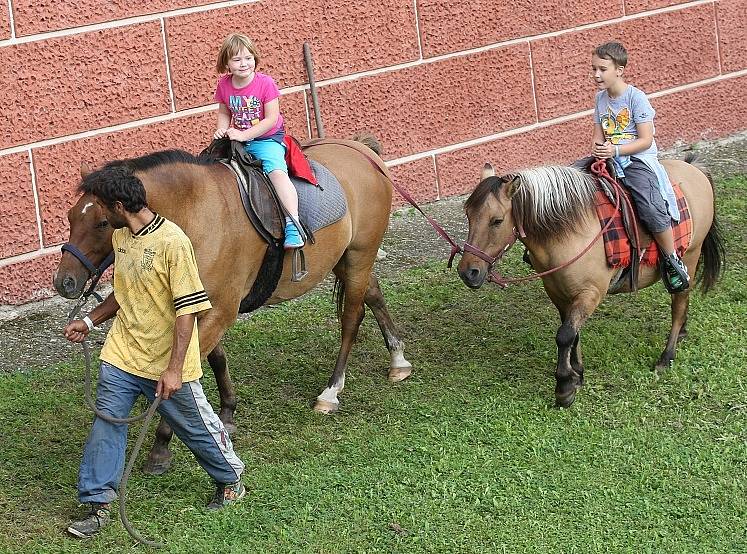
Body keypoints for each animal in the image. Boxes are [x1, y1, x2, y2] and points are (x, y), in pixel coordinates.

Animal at [52, 136, 414, 472]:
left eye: (102, 222)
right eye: (70, 217)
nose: (64, 281)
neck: (197, 214)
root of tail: (362, 150)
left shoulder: (219, 310)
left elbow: (182, 376)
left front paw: (161, 446)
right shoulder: (200, 305)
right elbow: (214, 360)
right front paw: (227, 412)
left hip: (358, 256)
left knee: (352, 317)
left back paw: (331, 391)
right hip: (345, 259)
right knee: (373, 294)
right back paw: (398, 359)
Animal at [456, 155, 724, 406]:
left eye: (497, 221)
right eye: (468, 215)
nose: (468, 272)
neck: (567, 234)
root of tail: (694, 168)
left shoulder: (590, 293)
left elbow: (564, 334)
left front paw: (564, 387)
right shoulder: (557, 293)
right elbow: (572, 332)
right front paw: (577, 374)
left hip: (690, 255)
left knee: (678, 303)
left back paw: (666, 356)